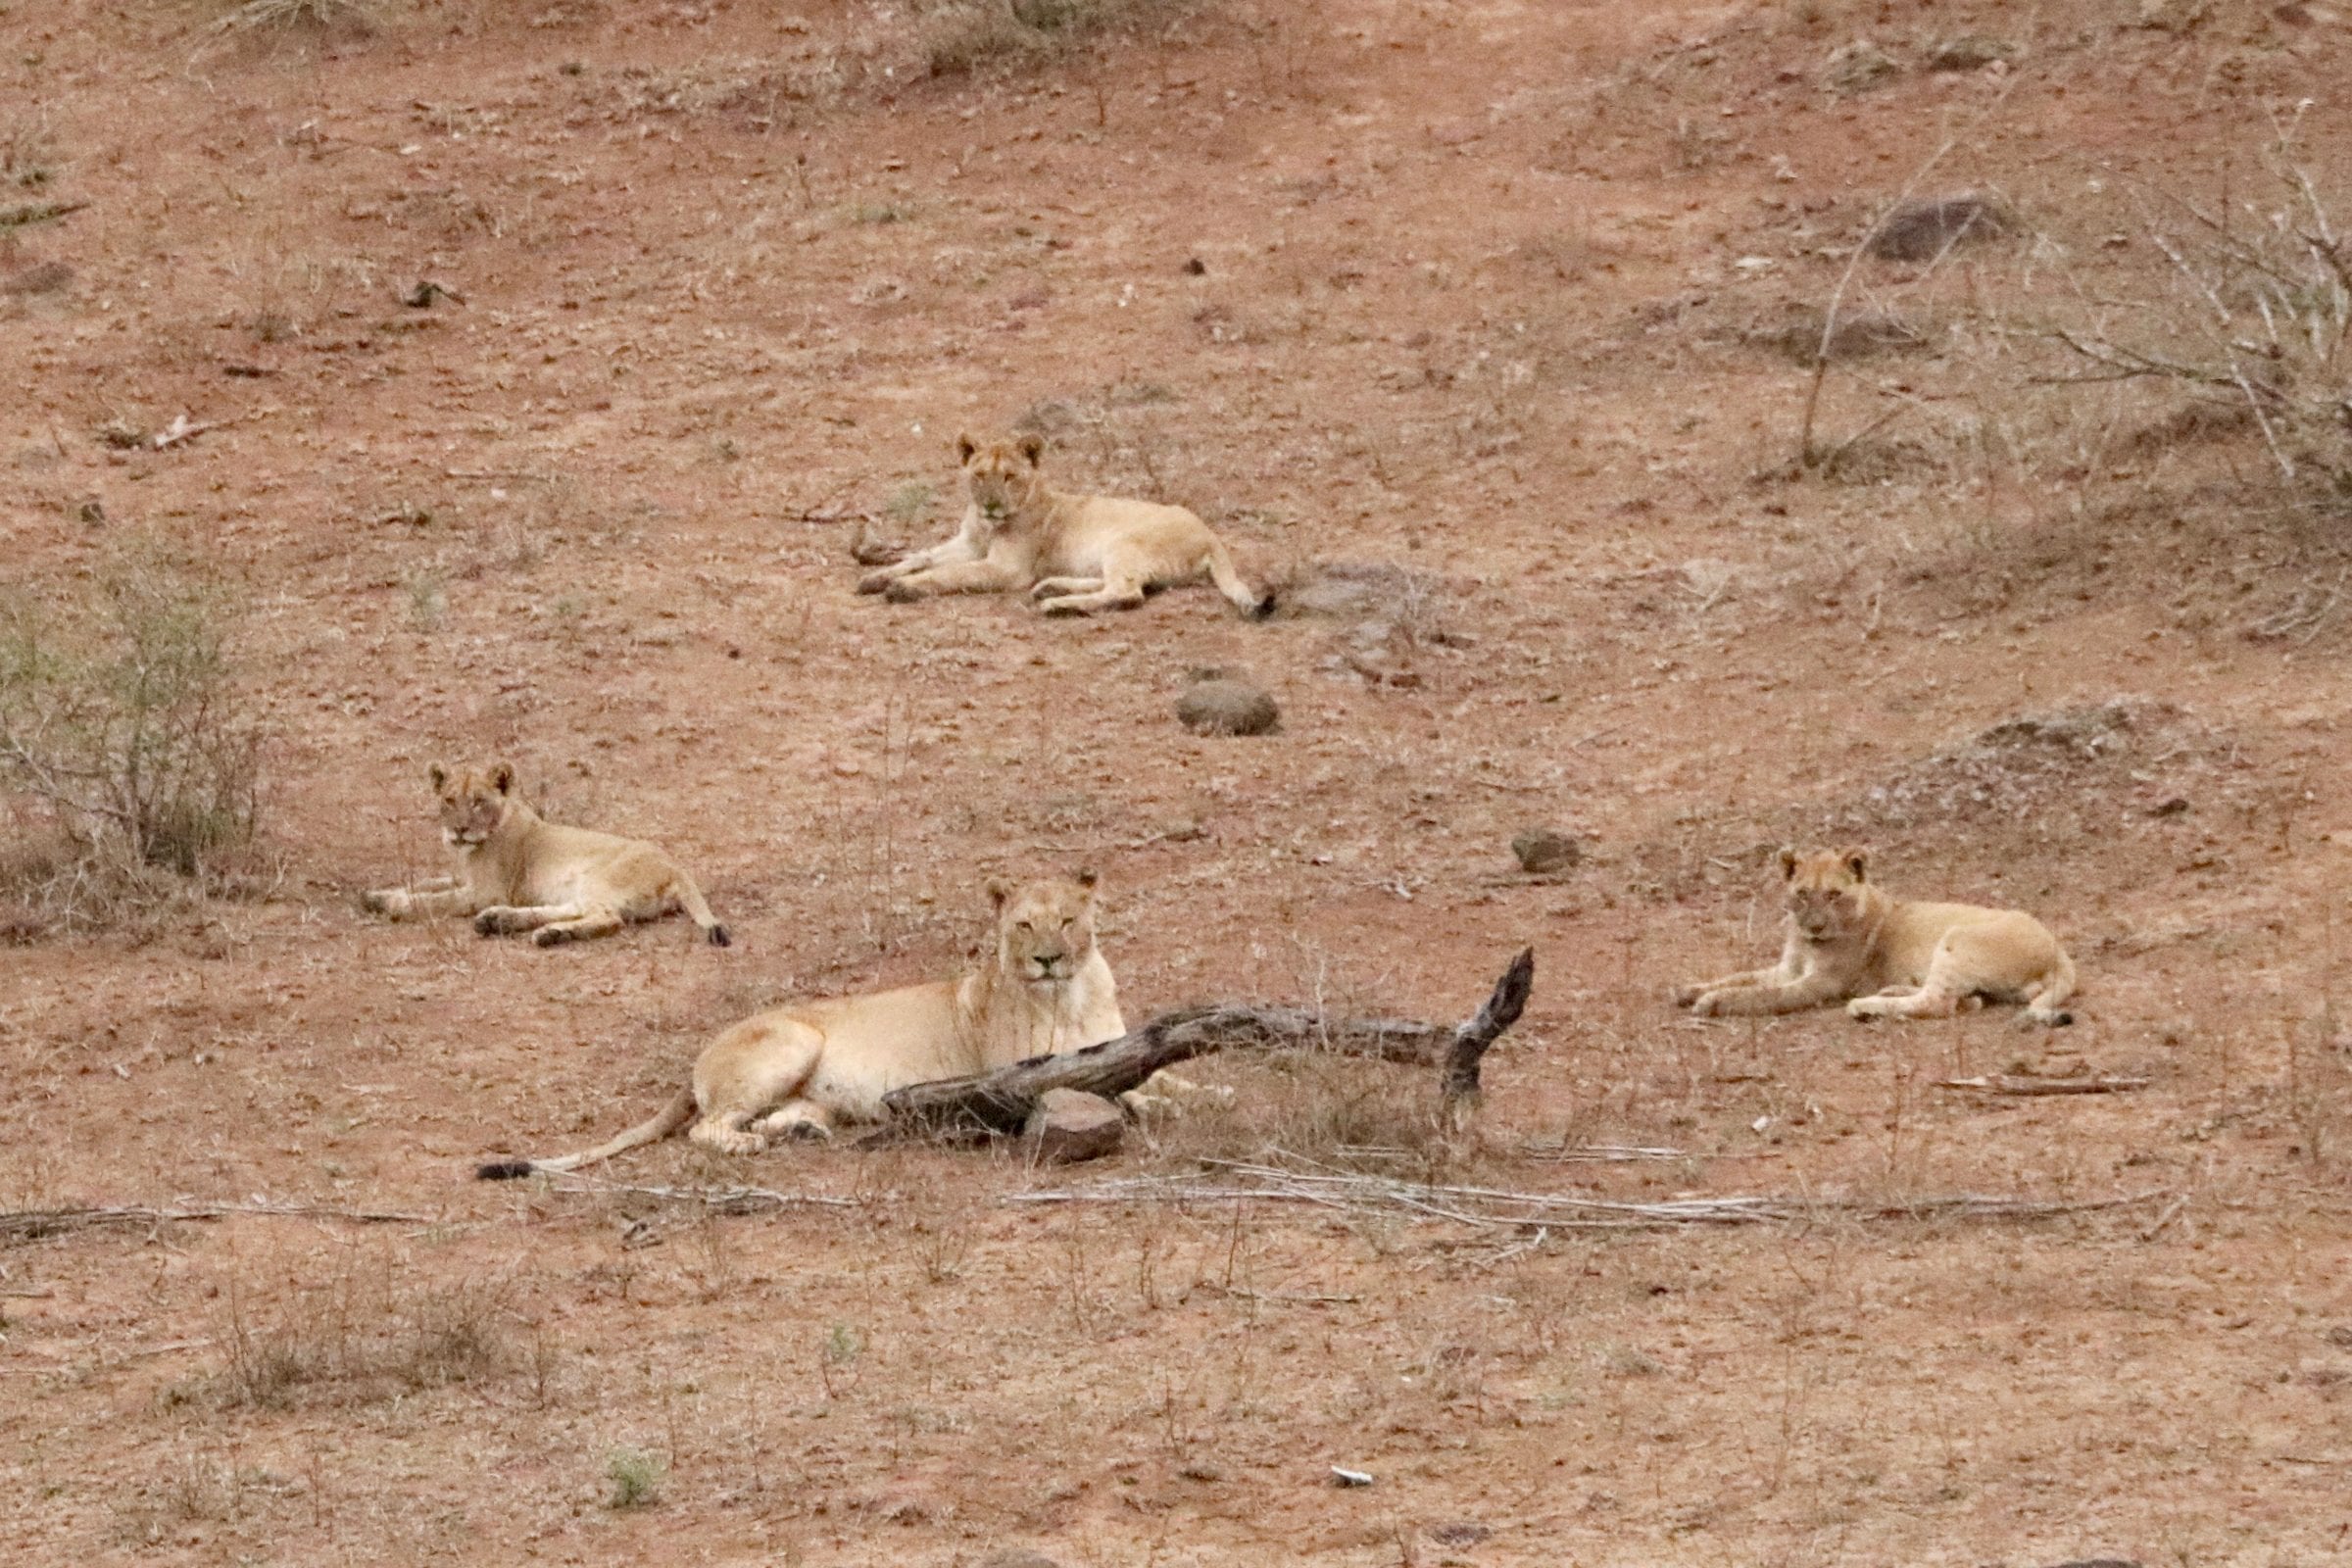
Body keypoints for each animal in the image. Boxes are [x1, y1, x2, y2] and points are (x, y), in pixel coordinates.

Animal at [362, 761, 729, 948]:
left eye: (479, 801)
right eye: (450, 800)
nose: (459, 830)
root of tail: (675, 866)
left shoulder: (485, 891)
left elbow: (435, 900)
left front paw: (394, 904)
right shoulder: (464, 877)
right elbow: (426, 883)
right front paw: (375, 895)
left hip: (599, 880)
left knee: (609, 918)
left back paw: (544, 934)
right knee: (572, 910)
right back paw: (503, 922)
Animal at [476, 872, 1129, 1177]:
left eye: (1068, 921)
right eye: (1024, 925)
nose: (1048, 958)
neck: (1070, 995)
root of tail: (698, 1060)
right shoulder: (1013, 1073)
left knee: (773, 1116)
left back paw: (799, 1133)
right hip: (796, 1038)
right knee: (706, 1128)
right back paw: (753, 1144)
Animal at [856, 432, 1270, 618]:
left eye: (1009, 477)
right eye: (979, 475)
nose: (990, 505)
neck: (987, 525)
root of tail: (1210, 534)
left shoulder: (1006, 568)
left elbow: (951, 574)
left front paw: (903, 588)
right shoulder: (968, 543)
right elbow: (921, 556)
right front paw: (877, 577)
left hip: (1125, 541)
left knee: (1127, 593)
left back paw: (1056, 603)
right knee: (1128, 585)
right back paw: (1051, 587)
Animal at [1674, 847, 2077, 1027]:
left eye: (1833, 895)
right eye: (1802, 894)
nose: (1815, 926)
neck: (1805, 942)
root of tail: (2060, 952)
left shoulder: (1823, 982)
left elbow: (1765, 994)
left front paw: (1714, 1003)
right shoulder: (1788, 967)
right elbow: (1743, 976)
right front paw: (1691, 989)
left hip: (1957, 936)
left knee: (1937, 1003)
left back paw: (1866, 1006)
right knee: (1964, 1001)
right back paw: (1889, 992)